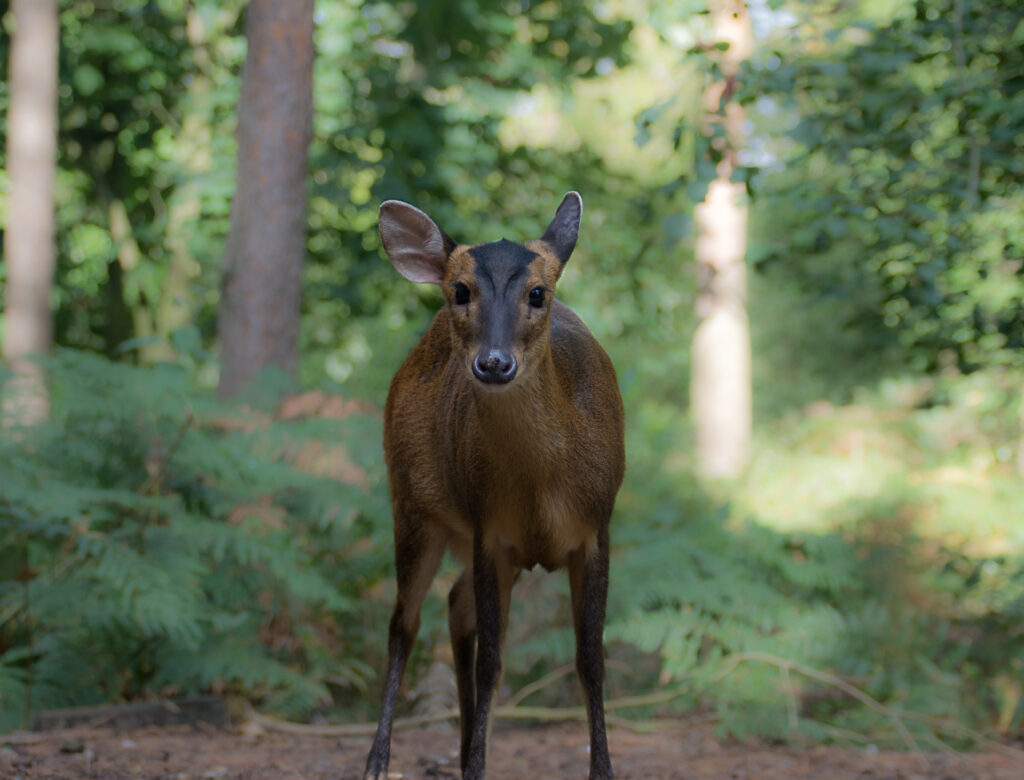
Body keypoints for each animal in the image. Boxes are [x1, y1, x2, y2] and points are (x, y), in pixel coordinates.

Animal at [363, 191, 625, 780]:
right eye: (461, 290)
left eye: (538, 292)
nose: (494, 362)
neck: (541, 487)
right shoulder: (490, 532)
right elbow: (492, 663)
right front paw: (478, 764)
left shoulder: (597, 527)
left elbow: (590, 658)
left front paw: (602, 770)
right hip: (412, 503)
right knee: (403, 623)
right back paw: (379, 761)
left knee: (455, 605)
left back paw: (461, 753)